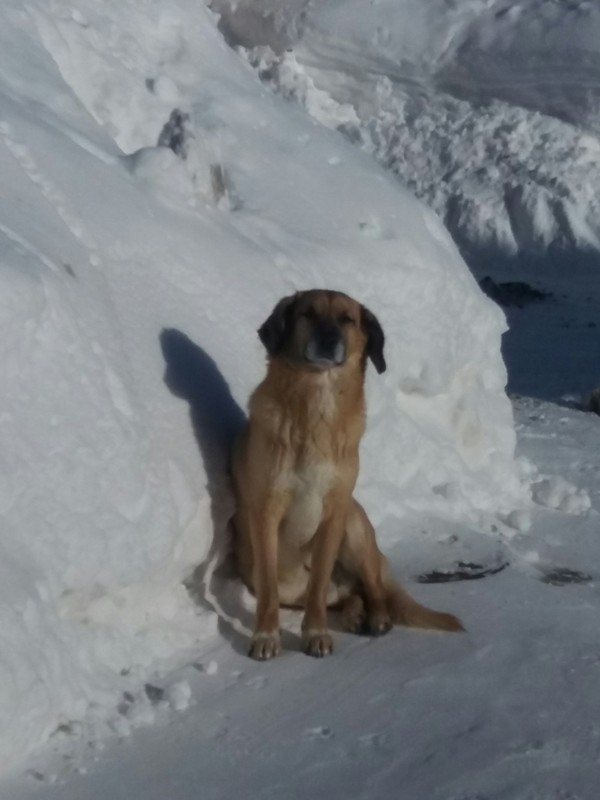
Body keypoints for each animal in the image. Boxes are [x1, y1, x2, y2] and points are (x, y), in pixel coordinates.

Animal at [232, 290, 462, 660]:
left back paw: (377, 618)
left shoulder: (334, 512)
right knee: (350, 594)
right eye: (308, 314)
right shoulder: (265, 512)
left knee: (372, 589)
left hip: (355, 527)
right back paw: (355, 615)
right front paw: (266, 636)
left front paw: (316, 632)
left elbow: (319, 585)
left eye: (347, 319)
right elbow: (268, 590)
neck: (317, 403)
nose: (329, 339)